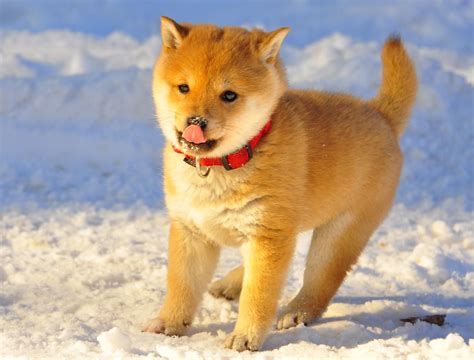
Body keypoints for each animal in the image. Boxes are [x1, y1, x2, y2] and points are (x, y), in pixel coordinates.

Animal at [143, 16, 416, 352]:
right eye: (183, 87)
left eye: (229, 95)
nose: (196, 122)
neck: (223, 164)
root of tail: (381, 115)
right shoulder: (191, 232)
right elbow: (182, 286)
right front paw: (168, 323)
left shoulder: (269, 236)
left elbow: (258, 295)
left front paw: (245, 337)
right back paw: (231, 283)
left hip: (338, 235)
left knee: (320, 282)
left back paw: (297, 312)